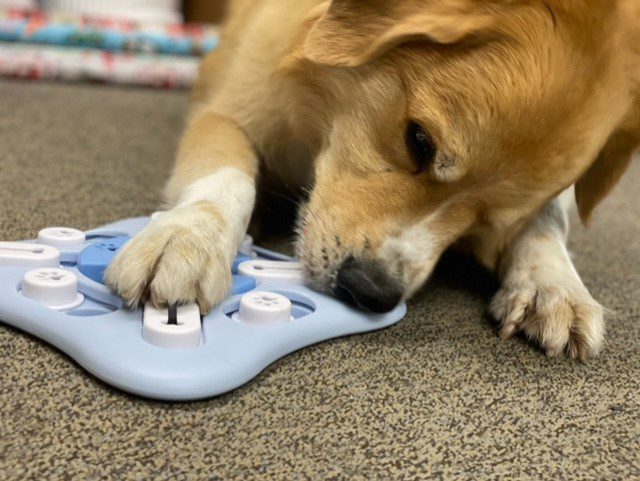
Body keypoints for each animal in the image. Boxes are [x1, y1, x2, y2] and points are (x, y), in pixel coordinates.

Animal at [105, 0, 640, 358]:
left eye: (488, 220)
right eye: (419, 140)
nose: (372, 292)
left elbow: (549, 219)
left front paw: (554, 283)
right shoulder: (226, 111)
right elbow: (227, 174)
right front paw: (189, 238)